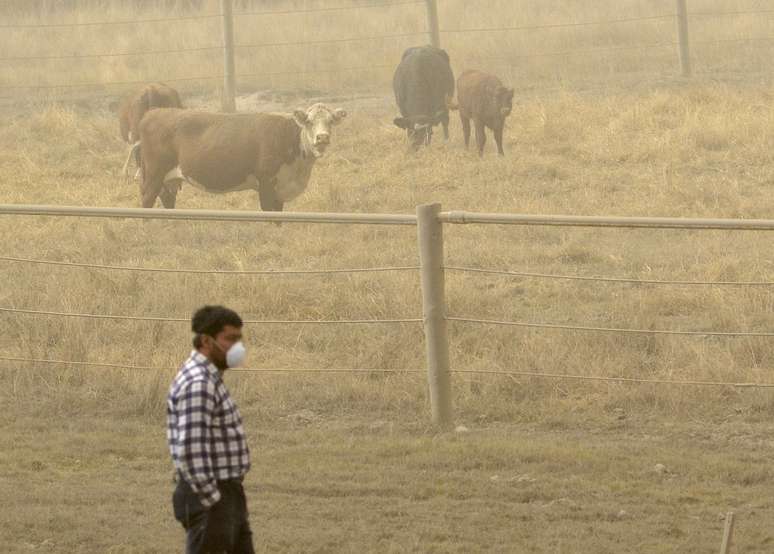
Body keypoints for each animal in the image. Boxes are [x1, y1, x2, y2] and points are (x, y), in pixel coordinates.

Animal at [135, 102, 348, 208]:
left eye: (330, 121)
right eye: (310, 122)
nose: (322, 137)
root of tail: (153, 113)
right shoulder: (267, 183)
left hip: (168, 179)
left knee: (167, 198)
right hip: (153, 174)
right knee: (147, 200)